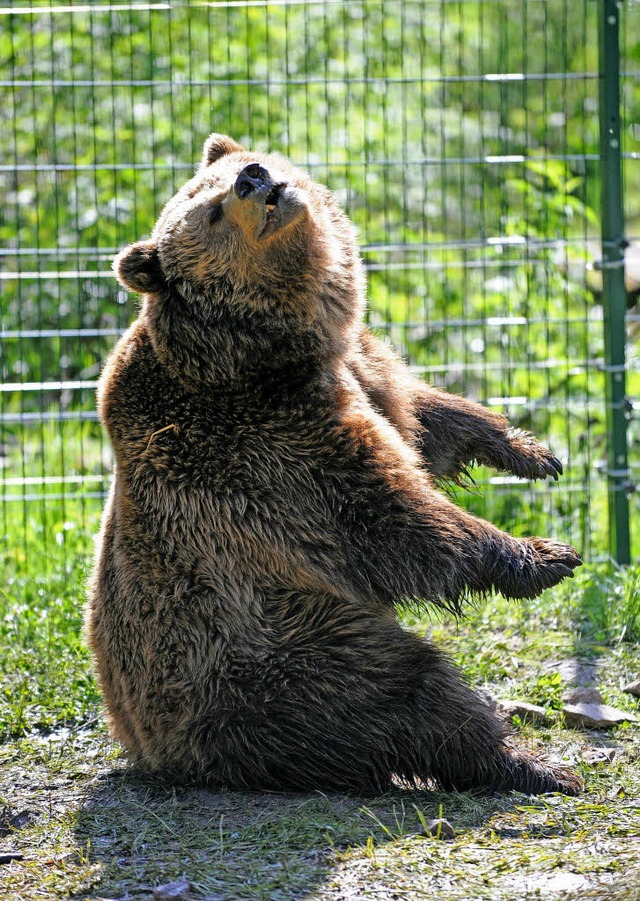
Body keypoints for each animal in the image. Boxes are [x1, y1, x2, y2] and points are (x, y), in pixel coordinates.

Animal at [86, 134, 584, 796]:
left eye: (233, 168)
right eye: (211, 210)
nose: (252, 177)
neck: (272, 349)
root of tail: (152, 747)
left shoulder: (357, 367)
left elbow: (424, 423)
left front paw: (529, 450)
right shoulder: (265, 443)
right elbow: (387, 514)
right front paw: (545, 555)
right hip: (270, 652)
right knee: (405, 691)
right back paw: (527, 763)